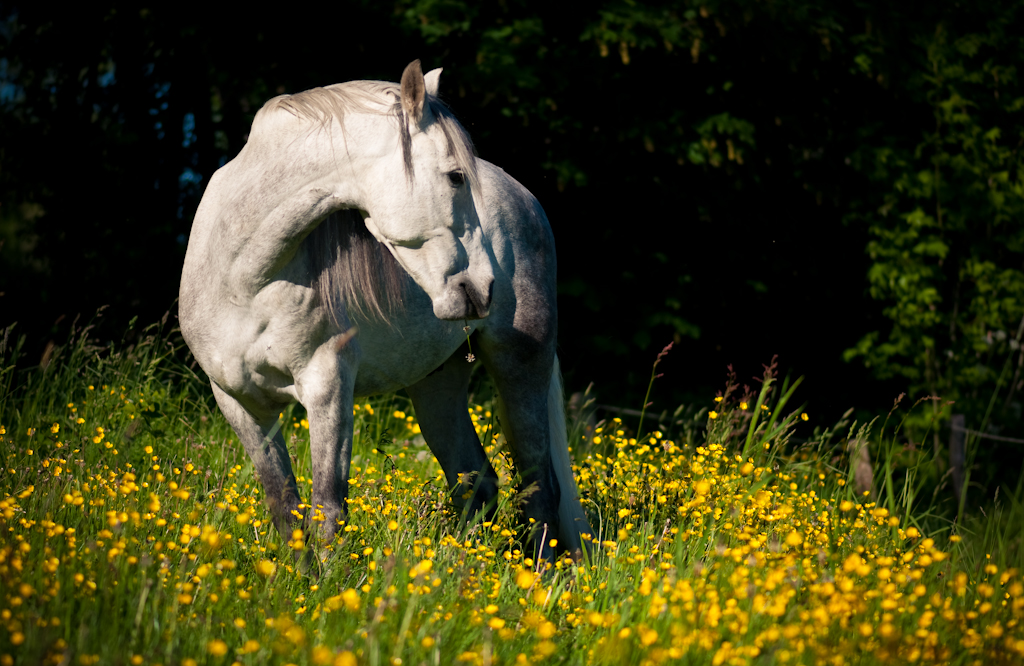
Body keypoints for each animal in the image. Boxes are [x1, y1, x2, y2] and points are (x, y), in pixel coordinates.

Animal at [179, 60, 589, 561]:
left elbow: (327, 509)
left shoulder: (328, 388)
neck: (244, 280)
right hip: (436, 383)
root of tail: (524, 197)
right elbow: (285, 509)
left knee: (538, 487)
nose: (484, 286)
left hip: (519, 364)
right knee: (476, 483)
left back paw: (541, 575)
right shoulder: (238, 403)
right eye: (455, 176)